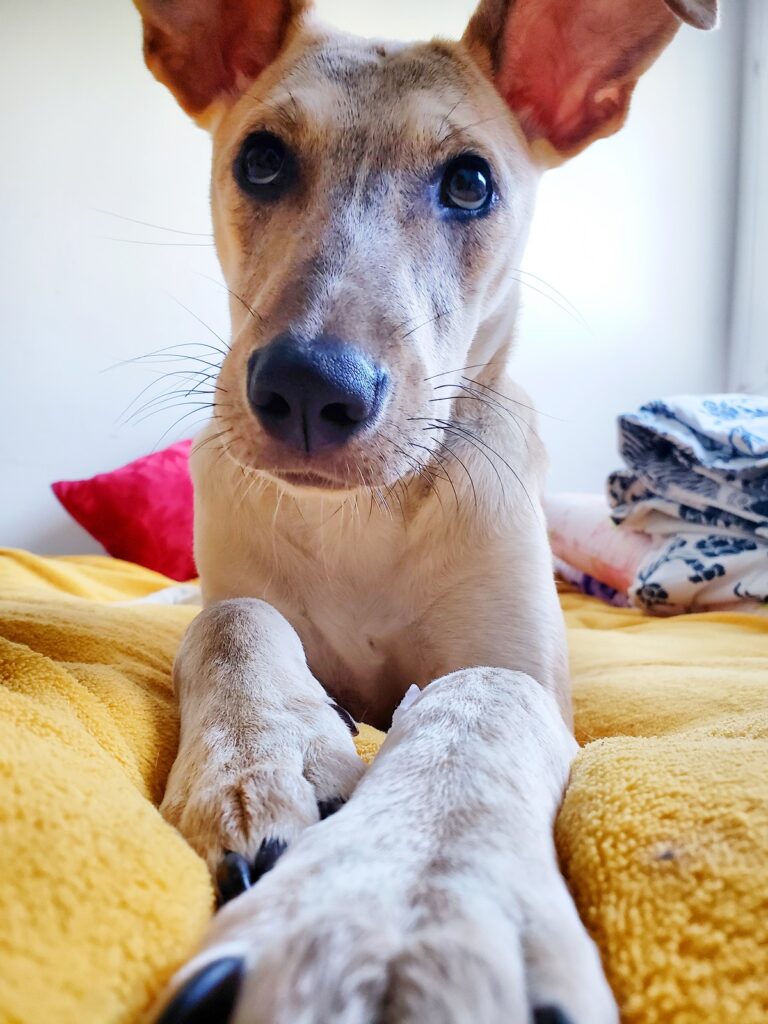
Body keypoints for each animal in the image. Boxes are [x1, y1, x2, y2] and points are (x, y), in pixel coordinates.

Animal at [131, 4, 716, 1019]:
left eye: (470, 183)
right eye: (262, 160)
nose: (308, 389)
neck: (362, 519)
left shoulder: (525, 671)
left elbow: (483, 701)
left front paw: (405, 907)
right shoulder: (234, 586)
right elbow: (232, 618)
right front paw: (255, 765)